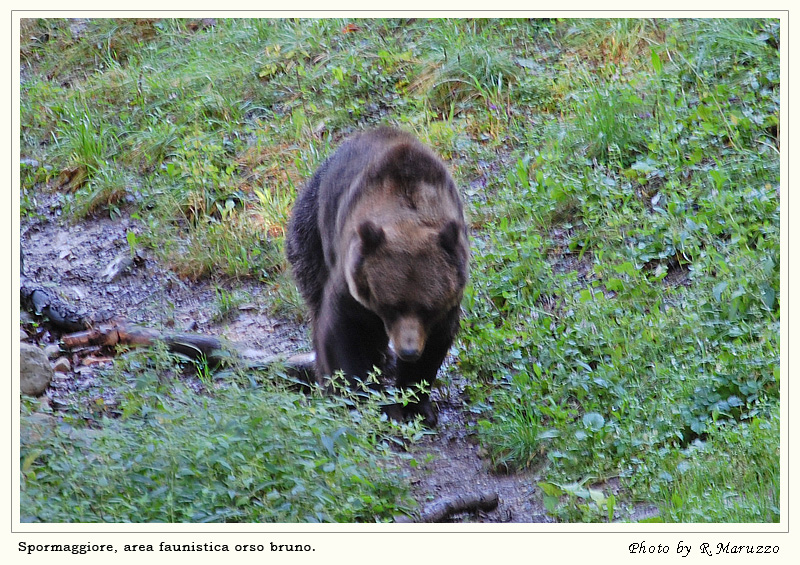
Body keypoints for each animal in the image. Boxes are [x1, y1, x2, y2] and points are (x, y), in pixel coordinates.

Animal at [286, 126, 469, 427]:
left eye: (428, 308)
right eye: (391, 306)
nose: (408, 351)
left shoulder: (450, 294)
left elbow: (436, 342)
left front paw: (416, 406)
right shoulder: (351, 284)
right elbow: (346, 332)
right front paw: (361, 397)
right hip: (310, 230)